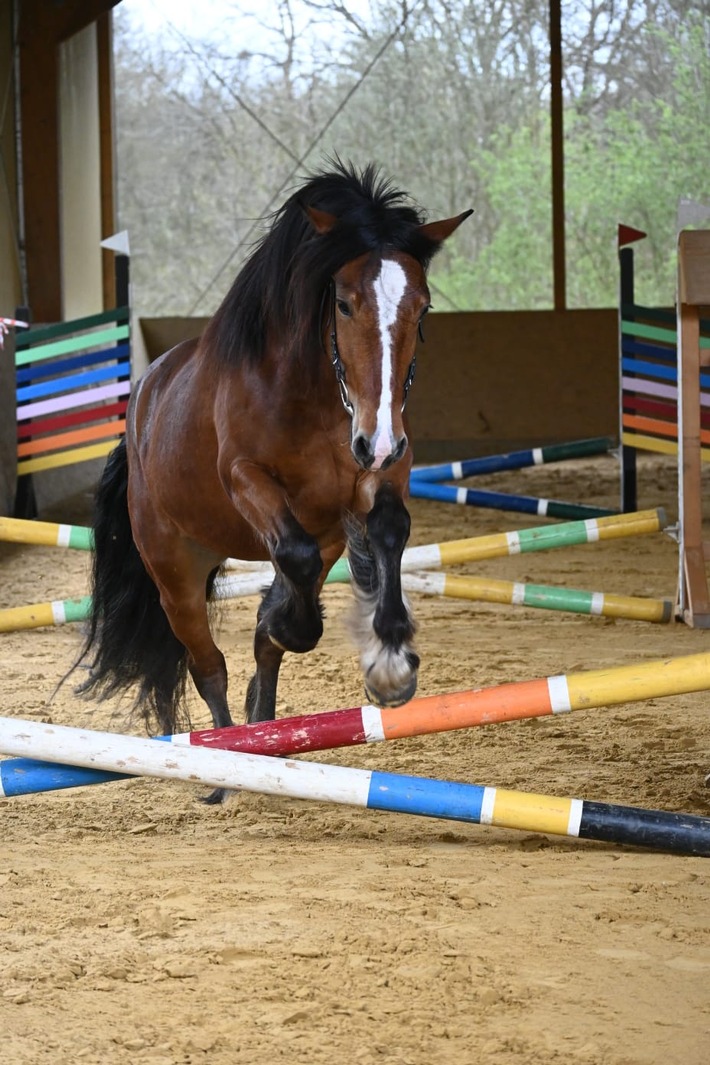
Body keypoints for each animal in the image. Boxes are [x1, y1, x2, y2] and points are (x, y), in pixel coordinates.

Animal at [76, 157, 472, 792]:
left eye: (423, 307)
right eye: (343, 303)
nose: (379, 441)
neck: (317, 396)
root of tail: (143, 402)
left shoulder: (379, 477)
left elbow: (387, 533)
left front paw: (390, 664)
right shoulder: (247, 478)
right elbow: (292, 562)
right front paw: (294, 625)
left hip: (324, 533)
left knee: (271, 630)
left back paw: (265, 729)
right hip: (174, 573)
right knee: (207, 664)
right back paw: (224, 763)